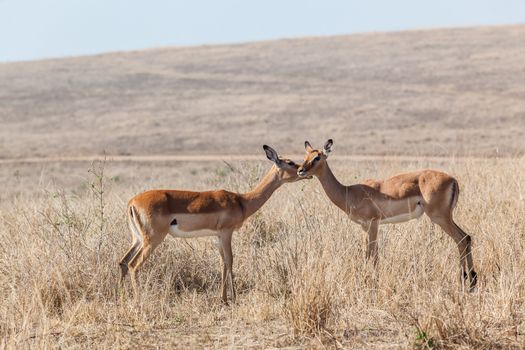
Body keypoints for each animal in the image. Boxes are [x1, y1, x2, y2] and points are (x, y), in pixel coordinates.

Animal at [119, 145, 304, 304]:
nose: (303, 170)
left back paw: (120, 297)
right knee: (133, 265)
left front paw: (224, 299)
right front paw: (234, 298)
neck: (241, 201)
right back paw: (138, 300)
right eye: (290, 162)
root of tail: (132, 203)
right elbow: (230, 260)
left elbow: (222, 262)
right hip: (153, 239)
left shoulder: (218, 236)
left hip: (137, 239)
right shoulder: (227, 232)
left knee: (123, 262)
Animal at [296, 139, 476, 290]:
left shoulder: (373, 223)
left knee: (461, 239)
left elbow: (372, 255)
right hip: (446, 217)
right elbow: (369, 253)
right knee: (467, 237)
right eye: (306, 155)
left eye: (317, 157)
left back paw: (462, 280)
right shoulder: (364, 227)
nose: (300, 170)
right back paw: (473, 281)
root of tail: (453, 180)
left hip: (439, 217)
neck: (349, 193)